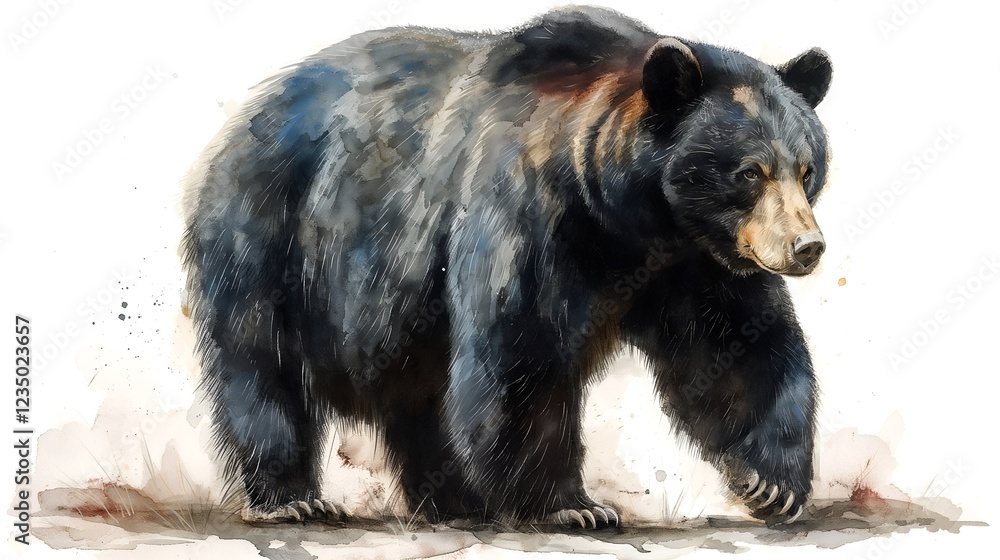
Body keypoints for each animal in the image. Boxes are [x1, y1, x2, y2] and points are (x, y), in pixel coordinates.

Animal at [181, 6, 833, 529]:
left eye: (806, 169)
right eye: (749, 172)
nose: (807, 246)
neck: (629, 214)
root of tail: (242, 122)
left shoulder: (693, 259)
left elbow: (735, 345)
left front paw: (772, 483)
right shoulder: (530, 212)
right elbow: (523, 349)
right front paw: (573, 505)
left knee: (422, 395)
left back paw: (453, 499)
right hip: (273, 238)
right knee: (262, 365)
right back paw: (291, 498)